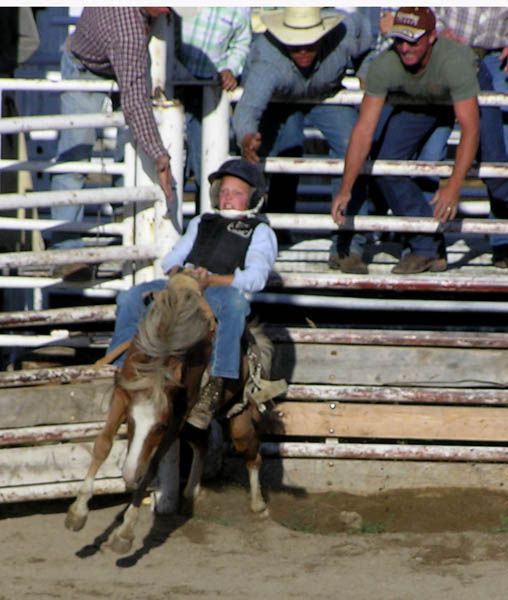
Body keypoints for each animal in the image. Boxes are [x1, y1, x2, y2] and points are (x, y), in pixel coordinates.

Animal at [65, 274, 280, 556]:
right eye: (130, 422)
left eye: (160, 427)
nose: (129, 475)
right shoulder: (123, 394)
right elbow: (103, 444)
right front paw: (77, 513)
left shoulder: (177, 417)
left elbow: (153, 465)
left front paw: (125, 533)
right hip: (194, 424)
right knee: (201, 443)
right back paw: (190, 493)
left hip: (238, 420)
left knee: (252, 455)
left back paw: (258, 505)